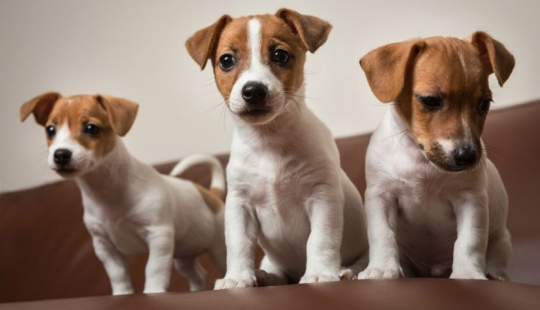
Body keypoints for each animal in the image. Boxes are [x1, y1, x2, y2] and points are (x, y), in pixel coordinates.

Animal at [20, 92, 227, 294]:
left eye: (91, 128)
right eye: (50, 130)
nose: (61, 155)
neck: (107, 191)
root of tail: (212, 195)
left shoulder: (159, 236)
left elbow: (154, 268)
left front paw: (153, 291)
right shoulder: (104, 246)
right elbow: (117, 273)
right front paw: (122, 294)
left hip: (218, 250)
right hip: (183, 256)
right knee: (198, 275)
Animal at [185, 7, 368, 288]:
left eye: (280, 55)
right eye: (226, 60)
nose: (253, 90)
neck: (268, 141)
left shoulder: (322, 197)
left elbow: (320, 239)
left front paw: (319, 274)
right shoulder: (239, 205)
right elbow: (238, 244)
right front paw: (237, 278)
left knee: (360, 262)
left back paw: (346, 271)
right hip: (273, 260)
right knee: (278, 275)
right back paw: (263, 276)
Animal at [358, 32, 516, 280]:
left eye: (484, 104)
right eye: (430, 100)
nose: (467, 156)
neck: (422, 161)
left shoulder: (470, 200)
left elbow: (469, 242)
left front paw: (468, 274)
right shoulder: (381, 196)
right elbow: (382, 234)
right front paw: (382, 268)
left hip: (501, 241)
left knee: (496, 260)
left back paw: (495, 275)